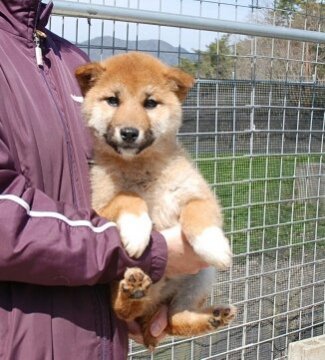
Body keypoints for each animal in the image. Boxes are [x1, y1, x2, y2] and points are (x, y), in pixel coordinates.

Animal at [74, 52, 234, 348]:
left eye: (150, 103)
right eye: (113, 100)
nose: (128, 132)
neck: (141, 170)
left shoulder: (200, 194)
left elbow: (197, 213)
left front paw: (213, 245)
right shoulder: (99, 207)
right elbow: (128, 196)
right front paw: (138, 230)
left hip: (200, 278)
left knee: (175, 318)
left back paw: (212, 317)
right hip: (117, 278)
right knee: (123, 310)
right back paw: (133, 290)